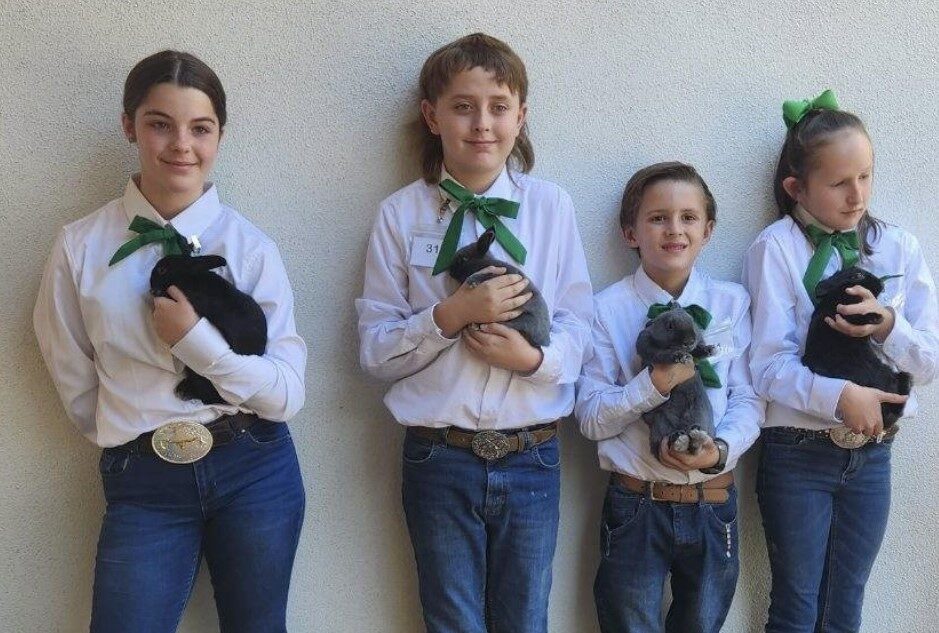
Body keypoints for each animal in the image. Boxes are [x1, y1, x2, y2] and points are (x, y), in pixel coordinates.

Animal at [636, 302, 716, 460]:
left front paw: (710, 350)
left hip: (699, 415)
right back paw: (681, 441)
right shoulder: (648, 345)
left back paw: (694, 437)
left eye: (691, 320)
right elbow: (662, 354)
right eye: (670, 326)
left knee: (694, 448)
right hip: (660, 424)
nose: (690, 341)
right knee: (667, 445)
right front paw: (679, 356)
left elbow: (697, 351)